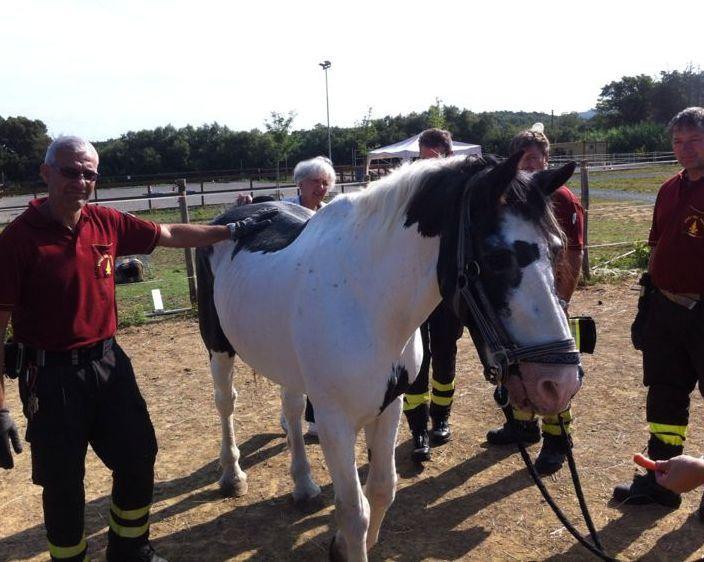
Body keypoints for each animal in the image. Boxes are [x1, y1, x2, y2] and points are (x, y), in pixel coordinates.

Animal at [196, 152, 582, 561]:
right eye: (496, 257)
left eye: (557, 248)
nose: (559, 383)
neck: (366, 295)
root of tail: (234, 217)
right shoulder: (335, 422)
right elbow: (354, 511)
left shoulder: (390, 404)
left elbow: (382, 489)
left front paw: (347, 545)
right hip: (218, 347)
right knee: (225, 403)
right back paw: (232, 475)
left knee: (292, 409)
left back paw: (303, 484)